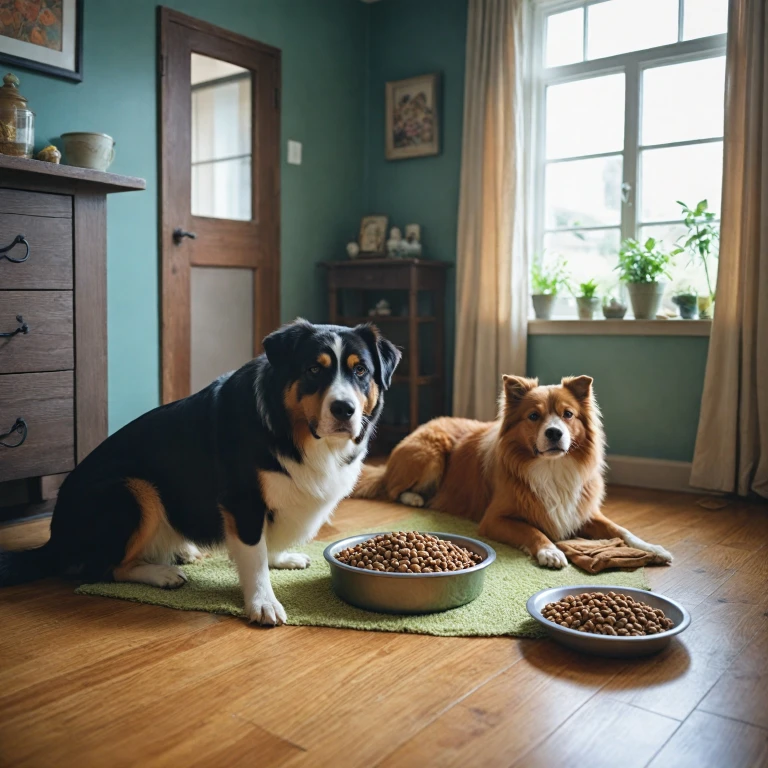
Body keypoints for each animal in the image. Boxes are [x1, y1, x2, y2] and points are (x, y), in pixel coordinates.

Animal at [1, 320, 402, 628]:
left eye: (361, 371)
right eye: (314, 370)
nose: (344, 409)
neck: (293, 434)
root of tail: (55, 538)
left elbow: (264, 545)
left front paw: (281, 559)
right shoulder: (242, 500)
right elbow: (254, 556)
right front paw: (262, 601)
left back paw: (181, 552)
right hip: (134, 491)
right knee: (103, 567)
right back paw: (160, 573)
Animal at [354, 376, 672, 568]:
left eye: (568, 414)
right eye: (534, 416)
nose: (555, 433)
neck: (551, 468)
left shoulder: (582, 511)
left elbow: (622, 530)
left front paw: (653, 549)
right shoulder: (494, 519)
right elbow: (531, 529)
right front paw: (550, 550)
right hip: (431, 455)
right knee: (392, 489)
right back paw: (416, 498)